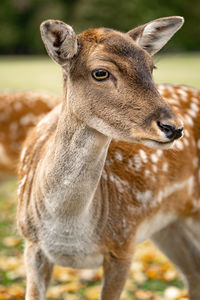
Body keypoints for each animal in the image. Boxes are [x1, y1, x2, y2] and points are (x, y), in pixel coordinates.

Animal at [16, 16, 200, 300]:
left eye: (151, 66)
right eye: (100, 72)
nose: (174, 127)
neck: (68, 232)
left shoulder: (123, 242)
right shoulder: (31, 244)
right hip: (168, 225)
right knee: (193, 271)